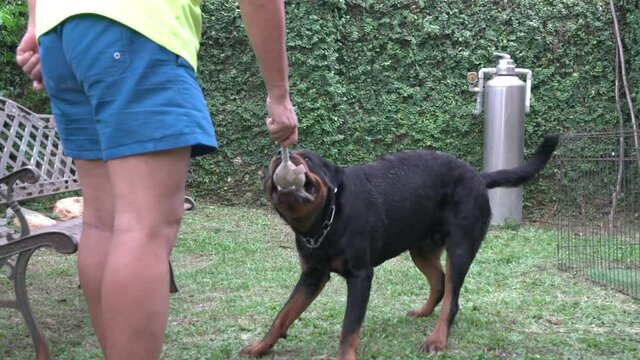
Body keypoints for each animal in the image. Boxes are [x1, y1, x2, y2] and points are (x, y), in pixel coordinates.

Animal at [242, 134, 556, 358]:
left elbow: (348, 328)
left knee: (452, 297)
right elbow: (283, 315)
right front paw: (261, 346)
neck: (325, 221)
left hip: (461, 246)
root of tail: (478, 176)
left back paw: (437, 339)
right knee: (440, 282)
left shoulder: (360, 276)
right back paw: (424, 312)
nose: (278, 155)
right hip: (422, 250)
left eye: (306, 157)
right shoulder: (312, 275)